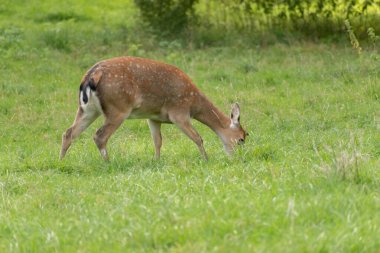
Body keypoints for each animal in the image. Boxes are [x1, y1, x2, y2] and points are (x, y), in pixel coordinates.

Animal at [59, 56, 248, 161]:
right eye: (241, 139)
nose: (238, 158)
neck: (194, 104)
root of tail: (91, 76)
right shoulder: (179, 112)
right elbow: (198, 137)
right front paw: (206, 159)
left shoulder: (153, 117)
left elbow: (157, 141)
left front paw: (156, 161)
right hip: (117, 108)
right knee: (99, 135)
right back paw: (108, 162)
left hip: (87, 109)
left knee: (69, 132)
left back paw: (61, 161)